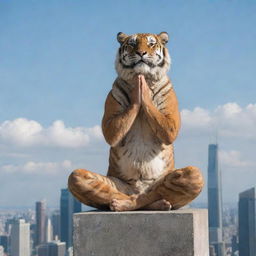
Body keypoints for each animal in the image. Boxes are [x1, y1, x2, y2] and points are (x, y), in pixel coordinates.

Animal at [68, 32, 204, 211]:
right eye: (132, 44)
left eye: (151, 44)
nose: (141, 53)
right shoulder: (110, 122)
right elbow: (111, 133)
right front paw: (138, 91)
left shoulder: (171, 124)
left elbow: (168, 131)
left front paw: (143, 91)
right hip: (95, 180)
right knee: (91, 182)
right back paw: (123, 203)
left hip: (191, 176)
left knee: (153, 194)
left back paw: (158, 204)